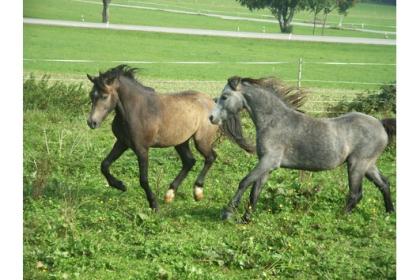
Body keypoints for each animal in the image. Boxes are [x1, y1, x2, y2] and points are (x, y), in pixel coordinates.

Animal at [83, 65, 251, 210]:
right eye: (91, 95)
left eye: (105, 96)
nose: (92, 122)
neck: (136, 110)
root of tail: (213, 102)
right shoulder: (122, 143)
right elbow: (104, 165)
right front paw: (120, 185)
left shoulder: (142, 149)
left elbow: (143, 179)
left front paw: (153, 204)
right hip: (181, 141)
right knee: (189, 161)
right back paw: (169, 194)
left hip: (201, 140)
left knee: (210, 157)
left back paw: (197, 192)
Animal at [212, 75, 396, 222]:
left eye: (225, 96)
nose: (211, 118)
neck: (274, 121)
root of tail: (380, 123)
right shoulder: (266, 165)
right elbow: (255, 190)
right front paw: (246, 218)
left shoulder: (269, 161)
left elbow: (244, 182)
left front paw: (228, 213)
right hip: (368, 165)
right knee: (384, 184)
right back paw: (389, 213)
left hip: (357, 165)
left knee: (356, 193)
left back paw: (340, 216)